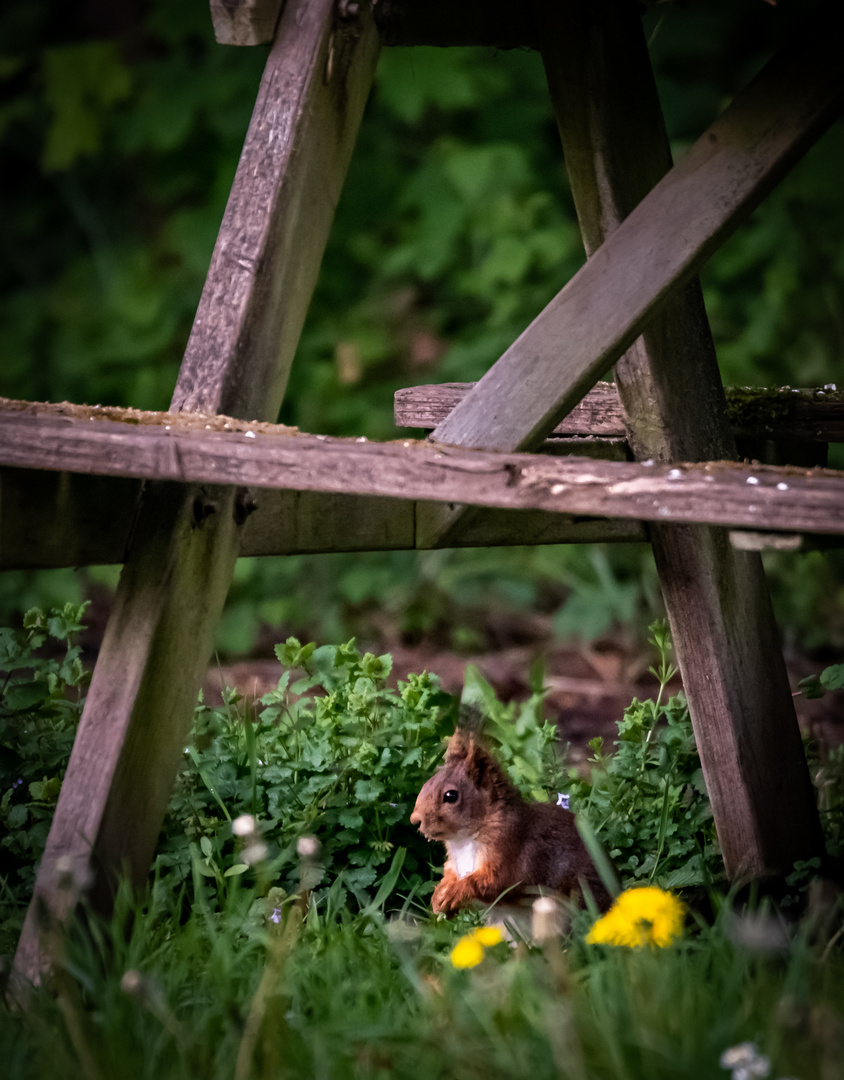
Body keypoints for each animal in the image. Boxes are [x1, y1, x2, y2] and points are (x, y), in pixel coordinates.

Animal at [406, 730, 605, 915]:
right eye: (426, 784)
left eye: (450, 795)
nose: (415, 820)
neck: (464, 840)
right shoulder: (455, 863)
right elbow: (450, 874)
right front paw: (438, 895)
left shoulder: (512, 852)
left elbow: (497, 882)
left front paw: (454, 892)